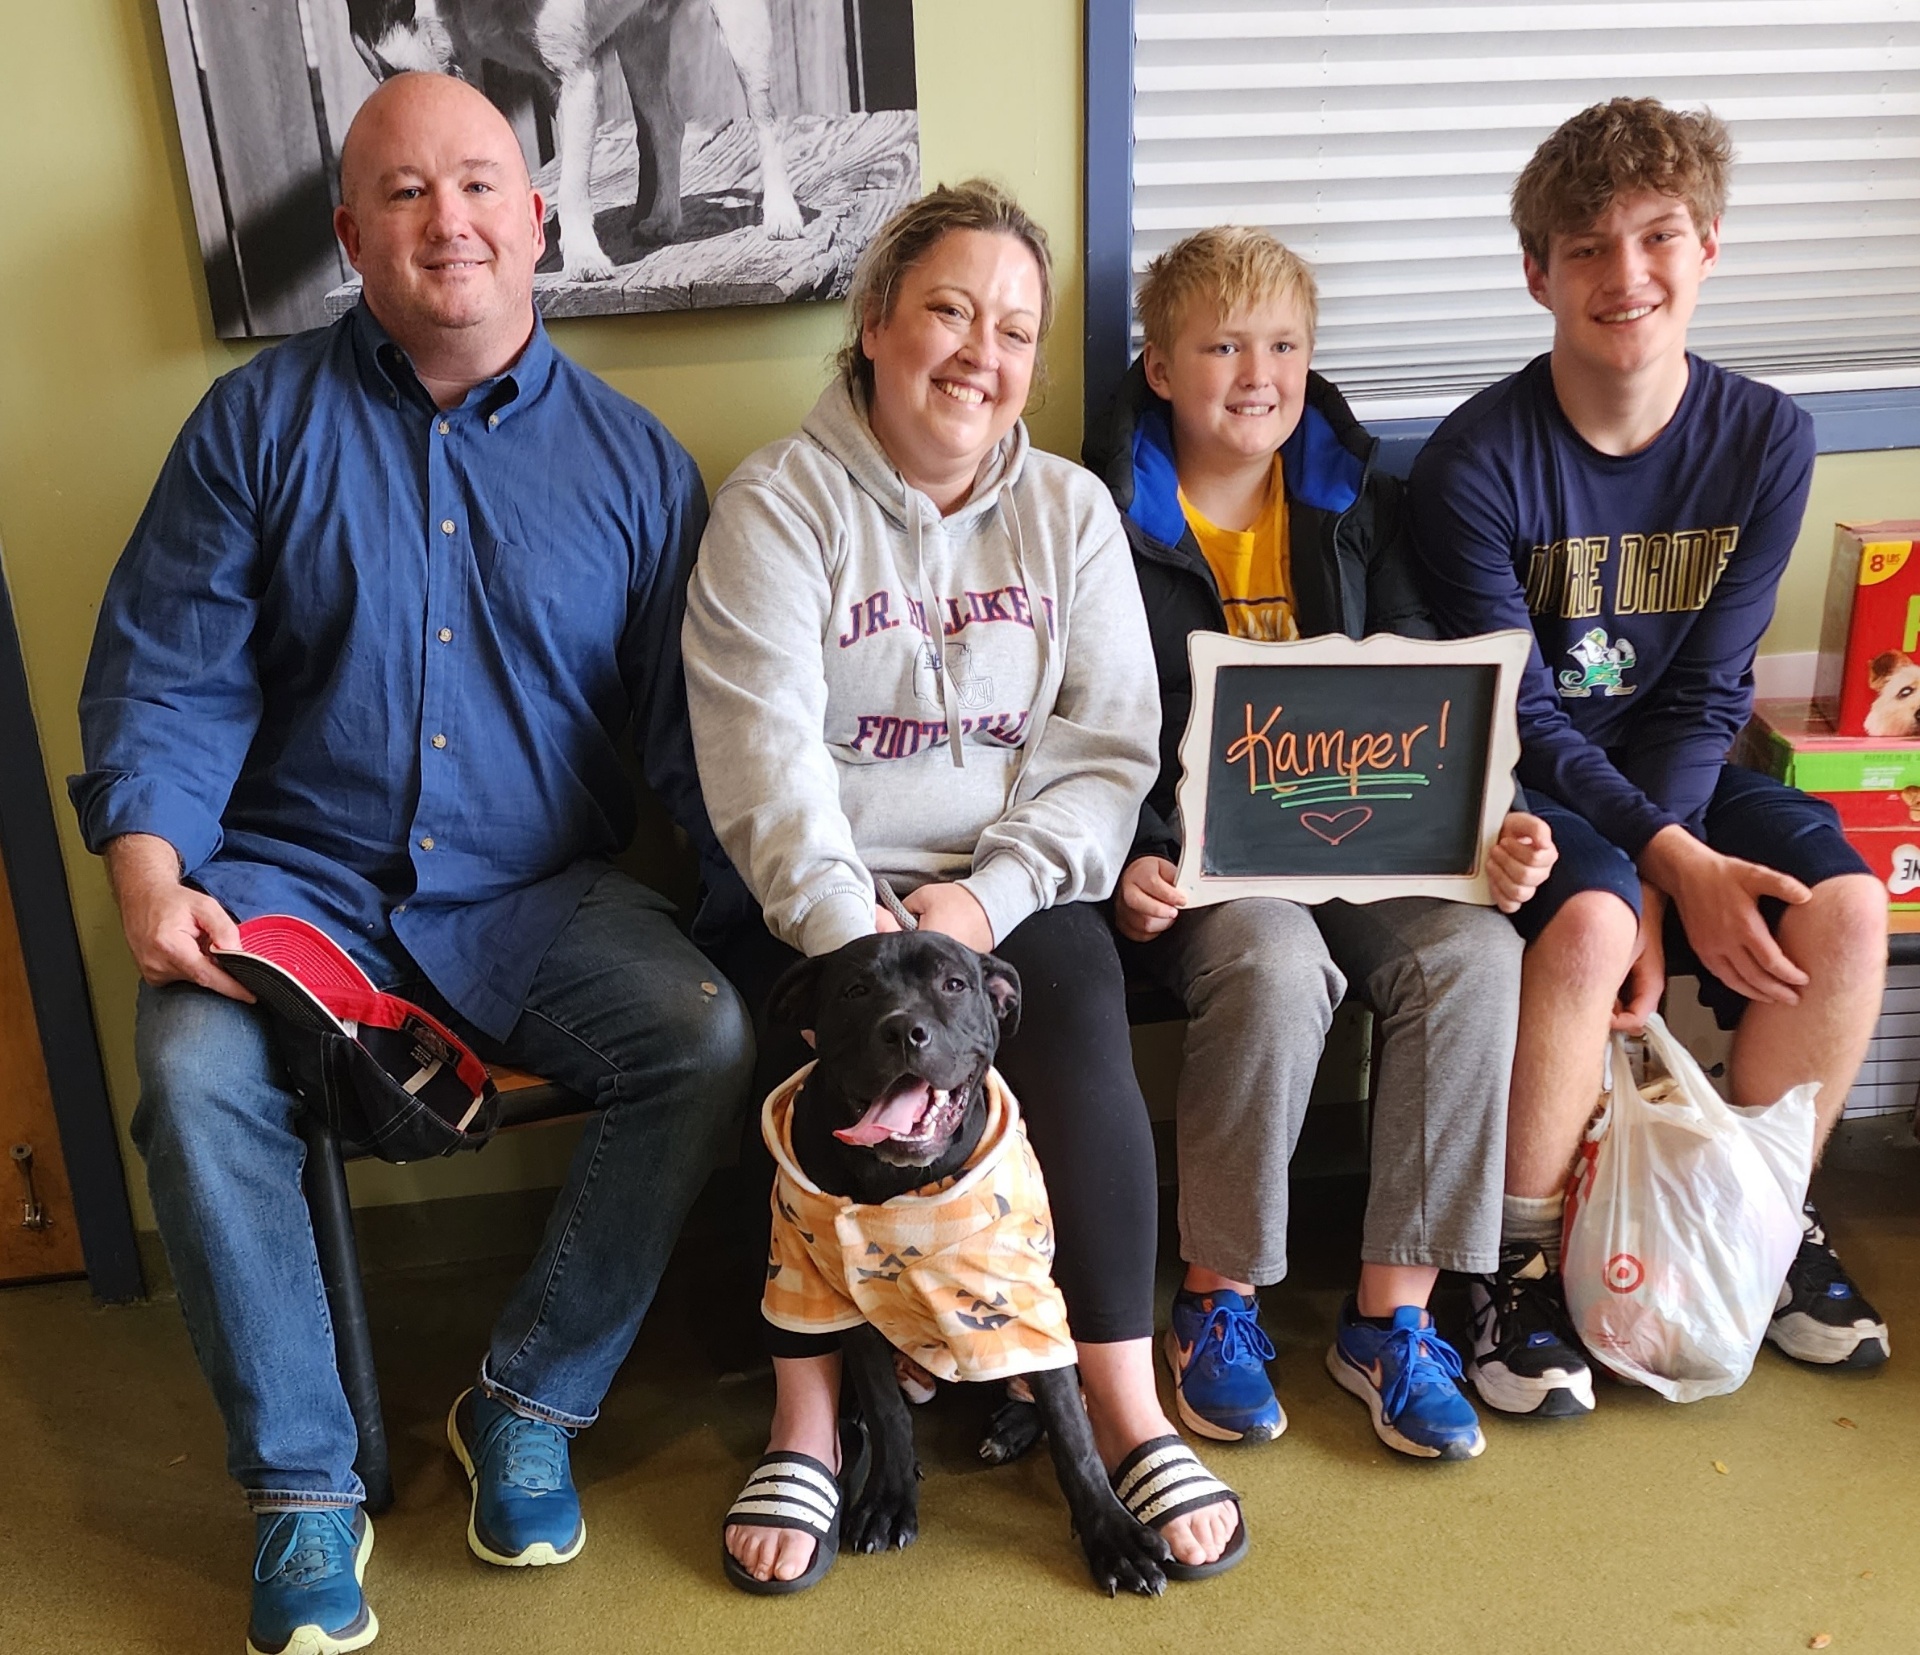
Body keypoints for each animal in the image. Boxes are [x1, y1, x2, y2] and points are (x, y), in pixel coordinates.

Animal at [764, 933, 1167, 1597]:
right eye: (855, 990)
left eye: (953, 985)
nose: (905, 1031)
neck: (894, 1187)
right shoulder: (841, 1302)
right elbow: (888, 1410)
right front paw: (889, 1496)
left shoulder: (1019, 1296)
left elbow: (1072, 1429)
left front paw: (1112, 1534)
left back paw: (1012, 1427)